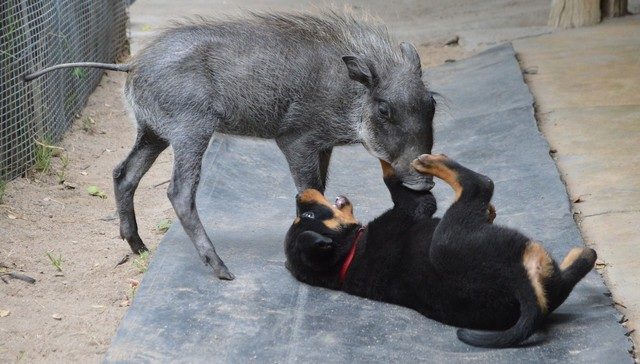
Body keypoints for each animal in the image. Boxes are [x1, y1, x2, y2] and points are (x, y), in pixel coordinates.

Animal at [284, 154, 596, 346]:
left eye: (304, 215)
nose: (299, 194)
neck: (347, 255)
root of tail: (520, 285)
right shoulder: (413, 208)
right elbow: (393, 178)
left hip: (547, 289)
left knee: (569, 273)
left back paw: (578, 254)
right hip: (448, 238)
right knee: (479, 184)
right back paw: (433, 161)